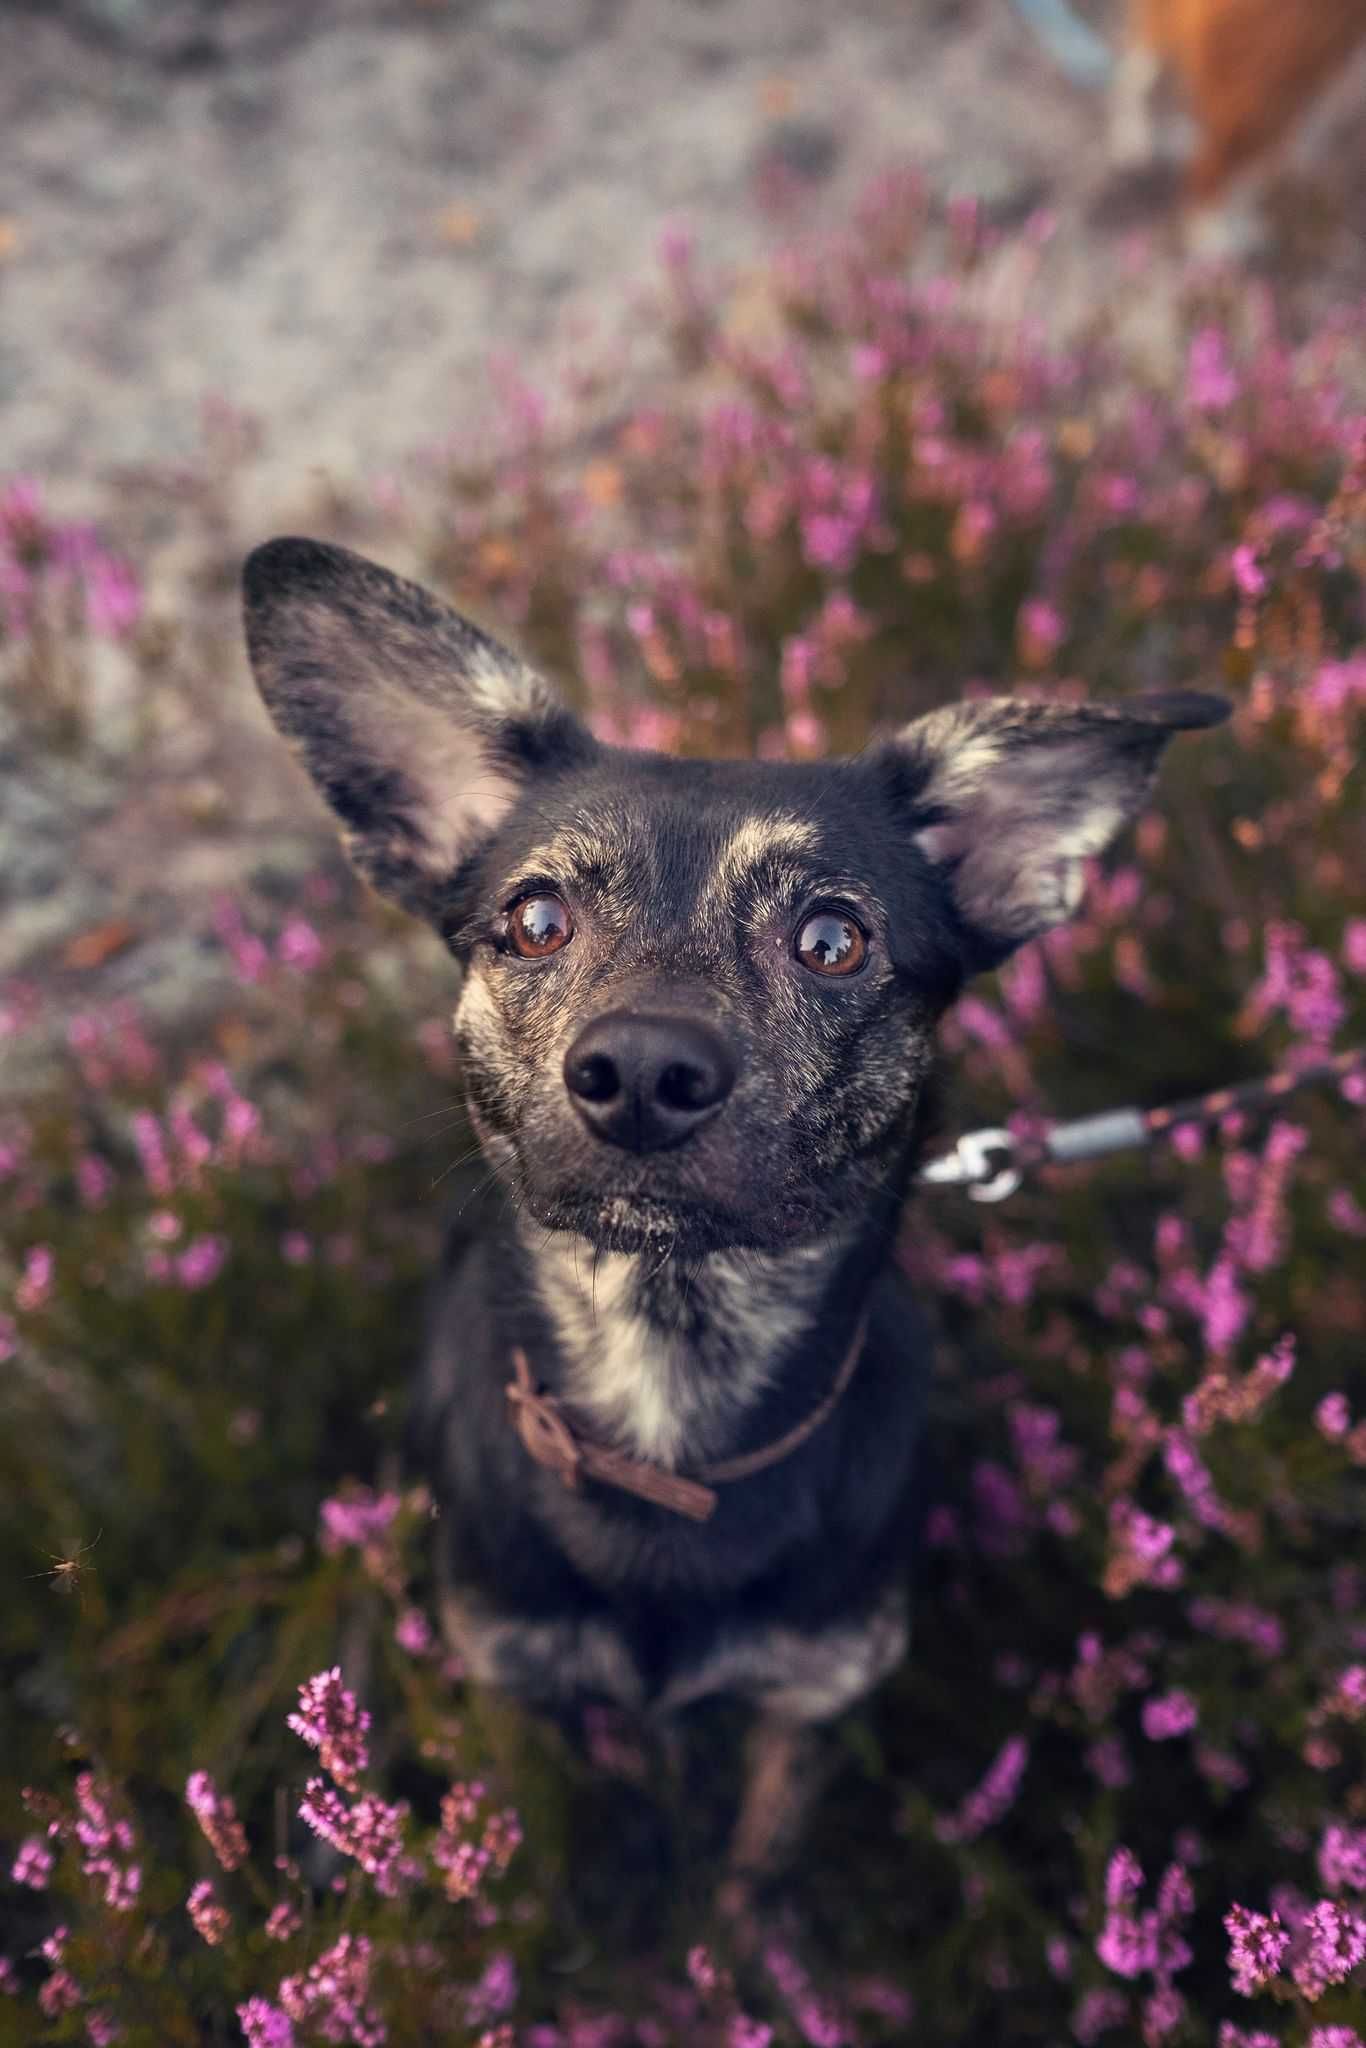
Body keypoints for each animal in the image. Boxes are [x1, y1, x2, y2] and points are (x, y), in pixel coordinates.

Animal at [242, 536, 1228, 1892]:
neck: (671, 1391)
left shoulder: (808, 1698)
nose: (641, 1070)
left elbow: (753, 1882)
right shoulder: (520, 1685)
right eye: (535, 919)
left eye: (832, 938)